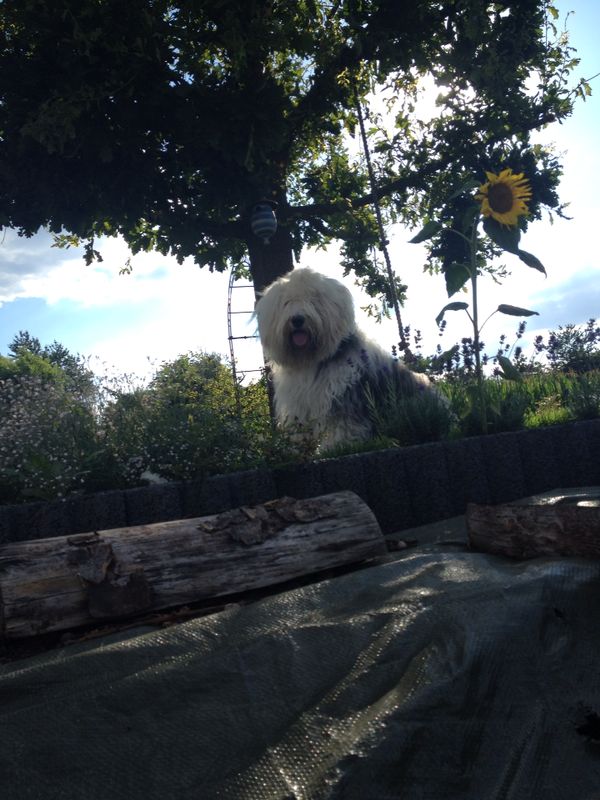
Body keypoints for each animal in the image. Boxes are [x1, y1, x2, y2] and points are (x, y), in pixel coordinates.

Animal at [255, 267, 438, 450]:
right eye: (287, 302)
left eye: (313, 300)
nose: (298, 319)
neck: (311, 360)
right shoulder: (298, 403)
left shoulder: (344, 395)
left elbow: (343, 424)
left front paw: (336, 445)